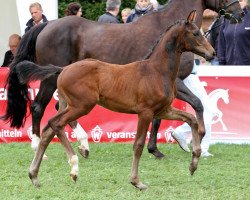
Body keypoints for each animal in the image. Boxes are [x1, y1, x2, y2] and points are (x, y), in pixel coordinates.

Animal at [15, 10, 215, 189]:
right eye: (196, 33)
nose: (212, 53)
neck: (156, 71)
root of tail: (62, 69)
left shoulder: (164, 110)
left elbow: (191, 119)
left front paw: (194, 162)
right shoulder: (145, 112)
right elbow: (138, 145)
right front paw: (136, 181)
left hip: (69, 105)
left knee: (50, 129)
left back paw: (35, 175)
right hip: (81, 106)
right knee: (54, 123)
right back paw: (74, 165)